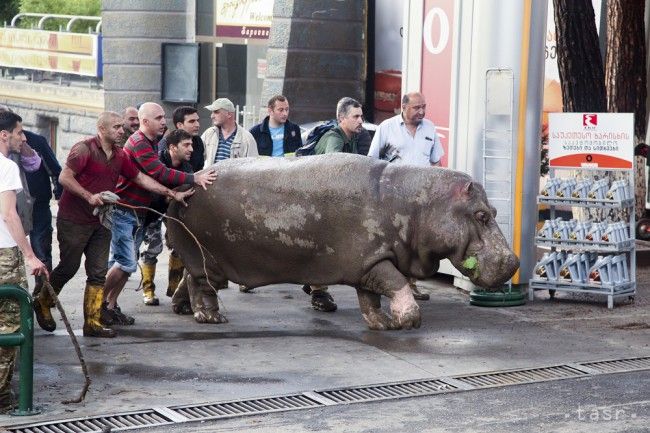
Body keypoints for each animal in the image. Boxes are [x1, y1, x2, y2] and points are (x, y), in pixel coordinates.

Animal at [166, 154, 516, 330]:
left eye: (496, 211)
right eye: (482, 215)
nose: (513, 261)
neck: (419, 203)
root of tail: (185, 184)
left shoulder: (369, 262)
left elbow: (371, 297)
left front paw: (383, 324)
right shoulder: (374, 260)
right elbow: (397, 282)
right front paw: (409, 321)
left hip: (205, 259)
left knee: (188, 279)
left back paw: (182, 309)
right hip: (206, 258)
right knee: (200, 285)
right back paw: (210, 318)